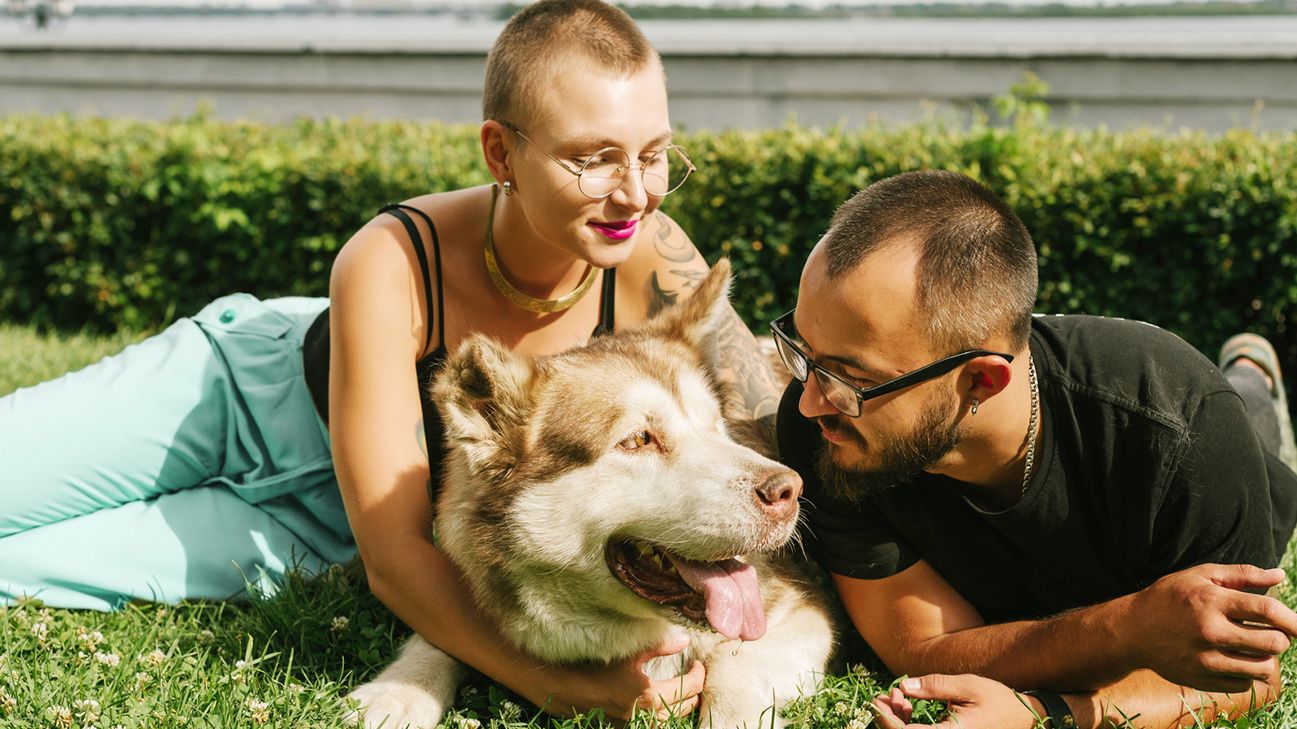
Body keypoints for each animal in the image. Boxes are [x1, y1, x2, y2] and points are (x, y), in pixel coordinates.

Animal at [350, 258, 835, 721]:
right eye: (637, 440)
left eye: (717, 428)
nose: (789, 491)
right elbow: (438, 634)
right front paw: (398, 690)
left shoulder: (803, 614)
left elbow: (732, 673)